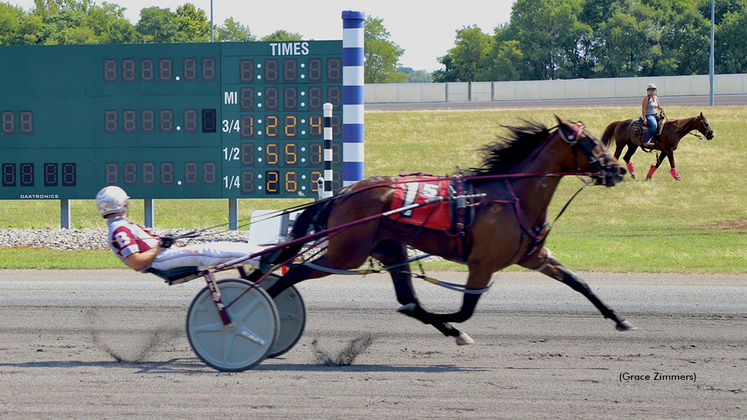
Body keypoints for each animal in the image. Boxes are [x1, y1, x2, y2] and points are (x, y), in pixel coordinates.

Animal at [266, 116, 636, 346]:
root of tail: (345, 191)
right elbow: (466, 310)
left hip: (389, 248)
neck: (512, 196)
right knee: (295, 271)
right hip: (347, 253)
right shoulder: (482, 265)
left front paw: (620, 319)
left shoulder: (535, 256)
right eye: (589, 142)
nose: (618, 170)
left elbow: (579, 283)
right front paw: (450, 321)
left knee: (408, 298)